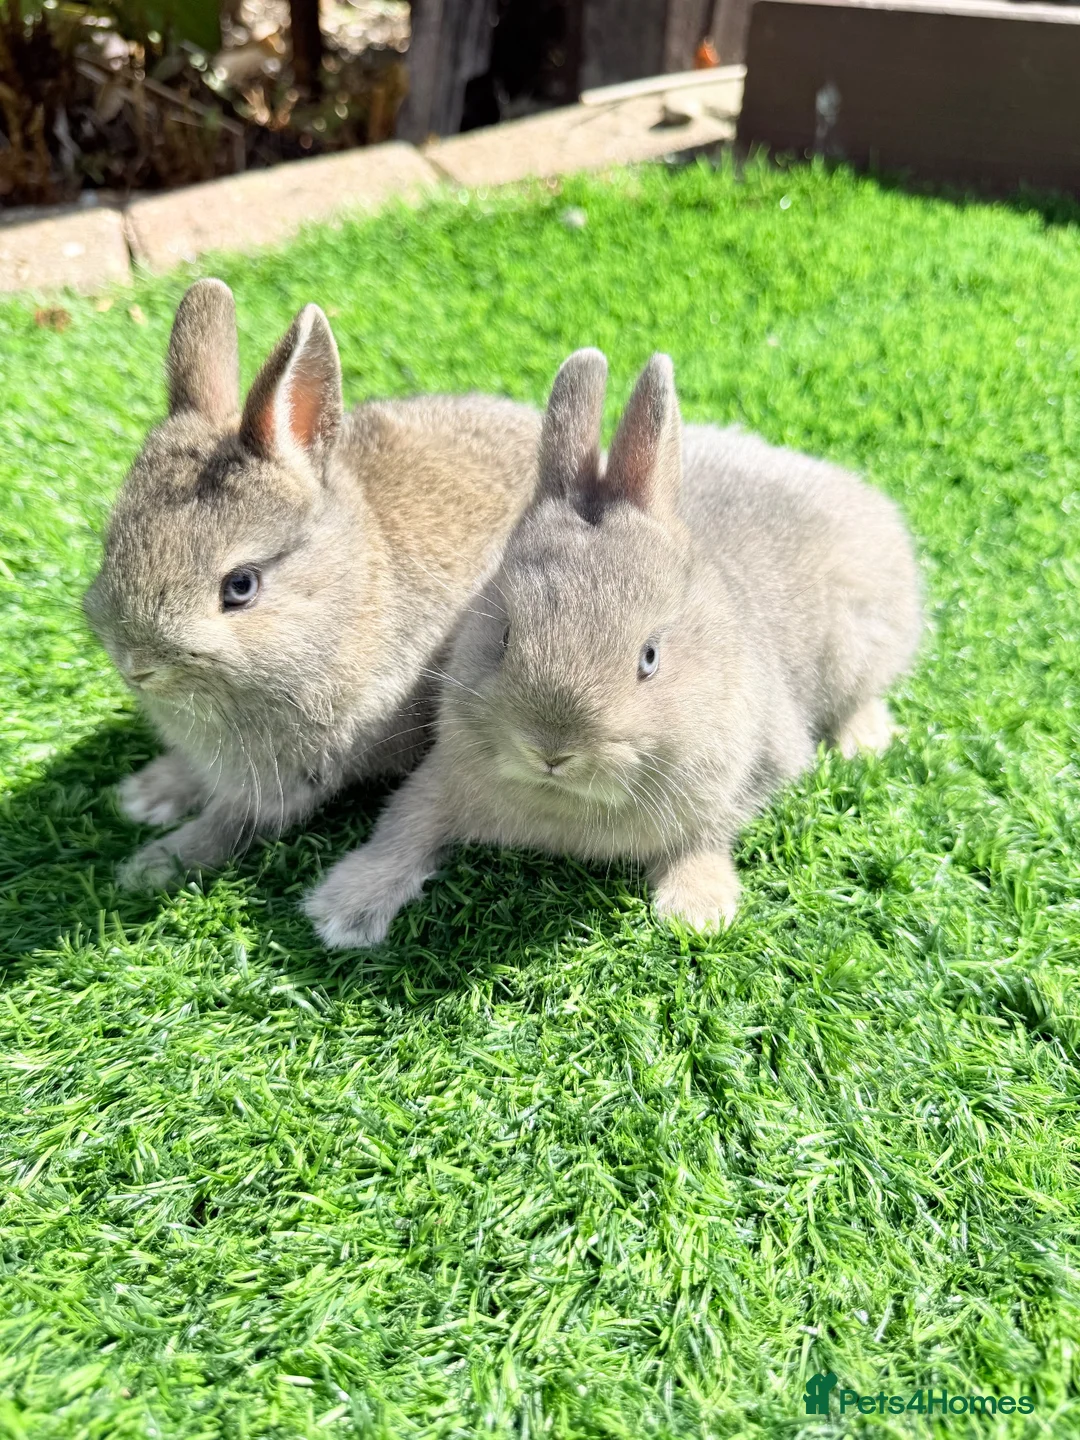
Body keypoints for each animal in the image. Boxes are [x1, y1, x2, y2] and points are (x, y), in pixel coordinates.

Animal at [83, 278, 542, 890]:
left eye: (241, 586)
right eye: (112, 543)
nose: (137, 666)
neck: (347, 597)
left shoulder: (291, 781)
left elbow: (230, 823)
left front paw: (150, 866)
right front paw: (146, 794)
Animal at [304, 347, 922, 948]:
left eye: (650, 658)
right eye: (504, 635)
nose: (551, 750)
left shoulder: (744, 775)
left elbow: (705, 838)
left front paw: (697, 914)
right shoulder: (435, 783)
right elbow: (403, 829)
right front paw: (342, 912)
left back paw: (865, 744)